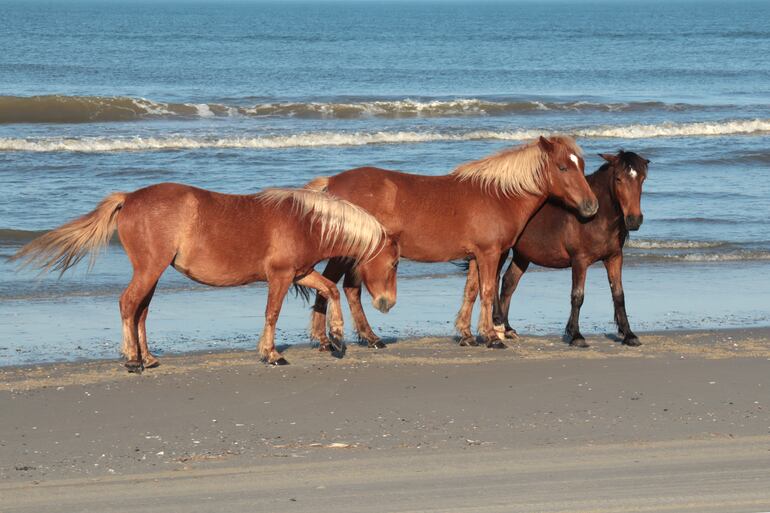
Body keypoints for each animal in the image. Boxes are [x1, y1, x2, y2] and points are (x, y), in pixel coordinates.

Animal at [12, 183, 400, 370]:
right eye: (395, 263)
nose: (387, 303)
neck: (304, 221)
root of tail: (130, 198)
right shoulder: (280, 277)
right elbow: (272, 314)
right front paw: (271, 354)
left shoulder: (300, 274)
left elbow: (330, 290)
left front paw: (337, 337)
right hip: (149, 269)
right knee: (128, 304)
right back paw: (132, 360)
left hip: (153, 272)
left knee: (141, 311)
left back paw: (148, 358)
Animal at [305, 135, 598, 349]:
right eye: (563, 167)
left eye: (582, 167)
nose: (591, 206)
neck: (498, 195)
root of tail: (331, 183)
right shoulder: (490, 254)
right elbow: (488, 291)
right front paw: (491, 337)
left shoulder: (476, 255)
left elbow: (471, 291)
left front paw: (467, 335)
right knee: (334, 286)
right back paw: (330, 339)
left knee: (346, 289)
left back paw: (362, 338)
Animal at [455, 150, 649, 347]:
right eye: (618, 179)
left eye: (642, 178)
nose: (634, 220)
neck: (596, 217)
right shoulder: (580, 260)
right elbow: (577, 296)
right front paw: (576, 335)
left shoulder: (614, 257)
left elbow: (619, 295)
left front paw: (629, 334)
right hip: (499, 252)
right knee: (493, 281)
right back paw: (497, 324)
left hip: (522, 255)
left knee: (509, 283)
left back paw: (508, 328)